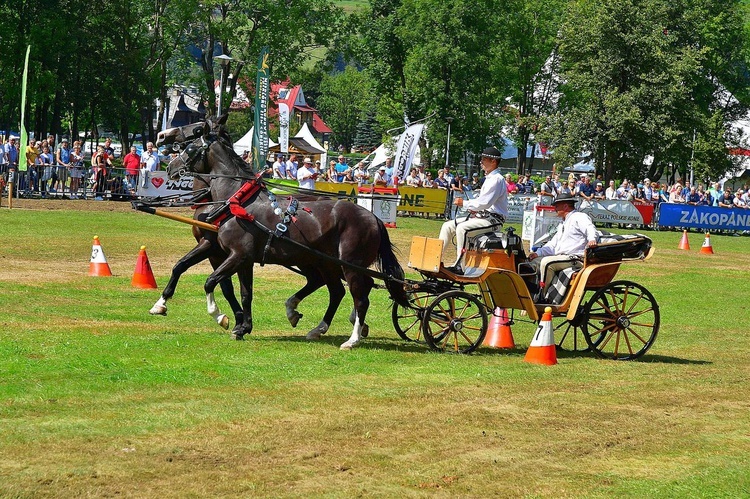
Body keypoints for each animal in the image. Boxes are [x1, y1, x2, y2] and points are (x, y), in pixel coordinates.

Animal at [163, 118, 412, 350]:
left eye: (191, 146)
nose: (170, 167)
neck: (237, 202)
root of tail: (374, 218)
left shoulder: (237, 256)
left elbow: (211, 282)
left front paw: (220, 316)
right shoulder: (240, 258)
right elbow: (243, 292)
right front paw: (242, 327)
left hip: (348, 265)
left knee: (359, 298)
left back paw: (352, 339)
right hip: (326, 263)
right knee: (340, 290)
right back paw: (316, 327)